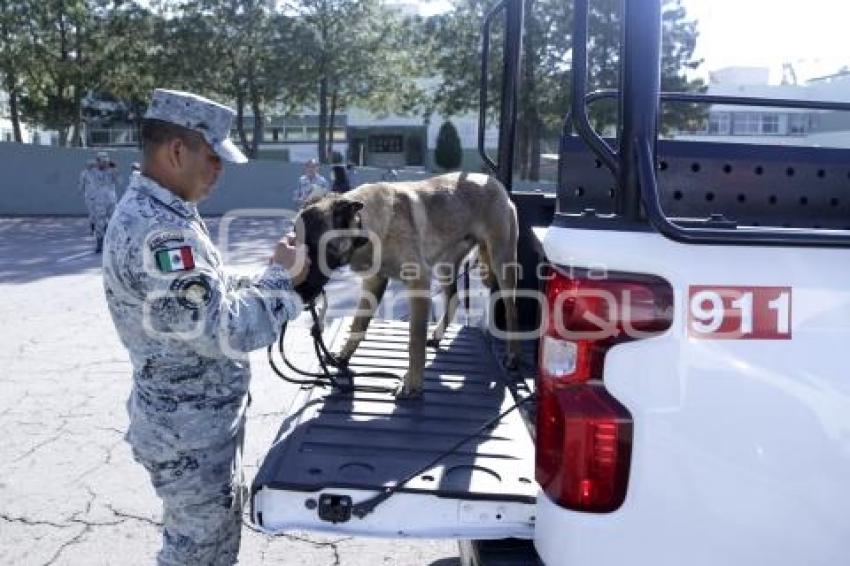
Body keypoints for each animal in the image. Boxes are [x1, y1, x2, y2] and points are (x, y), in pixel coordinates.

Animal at [294, 172, 516, 400]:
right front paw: (343, 357)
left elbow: (415, 341)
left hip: (501, 263)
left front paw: (413, 384)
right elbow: (358, 324)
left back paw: (511, 355)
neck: (365, 227)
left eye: (313, 247)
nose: (297, 289)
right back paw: (437, 335)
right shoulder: (373, 282)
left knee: (511, 308)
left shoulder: (418, 283)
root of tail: (493, 181)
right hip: (446, 266)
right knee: (454, 298)